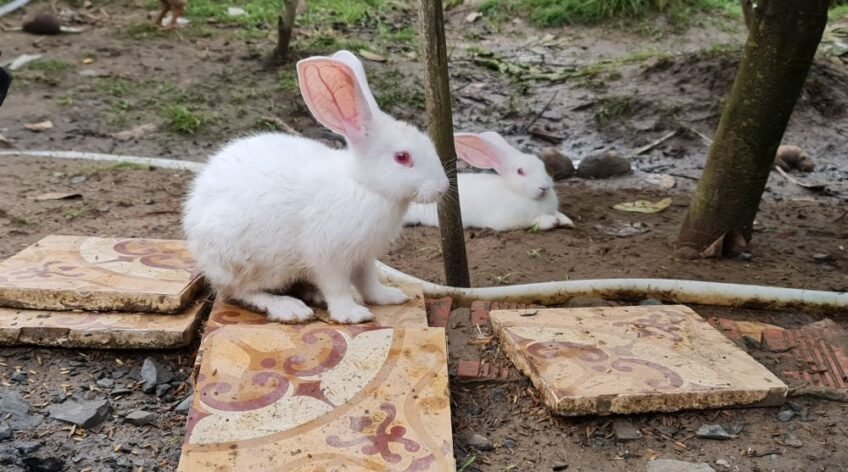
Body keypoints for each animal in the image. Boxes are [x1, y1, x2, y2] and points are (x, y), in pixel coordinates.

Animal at [182, 50, 449, 324]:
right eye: (402, 157)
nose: (443, 188)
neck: (363, 184)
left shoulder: (364, 257)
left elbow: (368, 282)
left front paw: (389, 297)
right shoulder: (328, 257)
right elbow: (336, 287)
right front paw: (352, 315)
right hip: (241, 262)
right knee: (240, 291)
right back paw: (289, 308)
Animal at [404, 131, 574, 231]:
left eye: (542, 165)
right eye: (521, 172)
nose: (544, 187)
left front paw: (566, 221)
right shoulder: (506, 221)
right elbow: (531, 222)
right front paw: (551, 221)